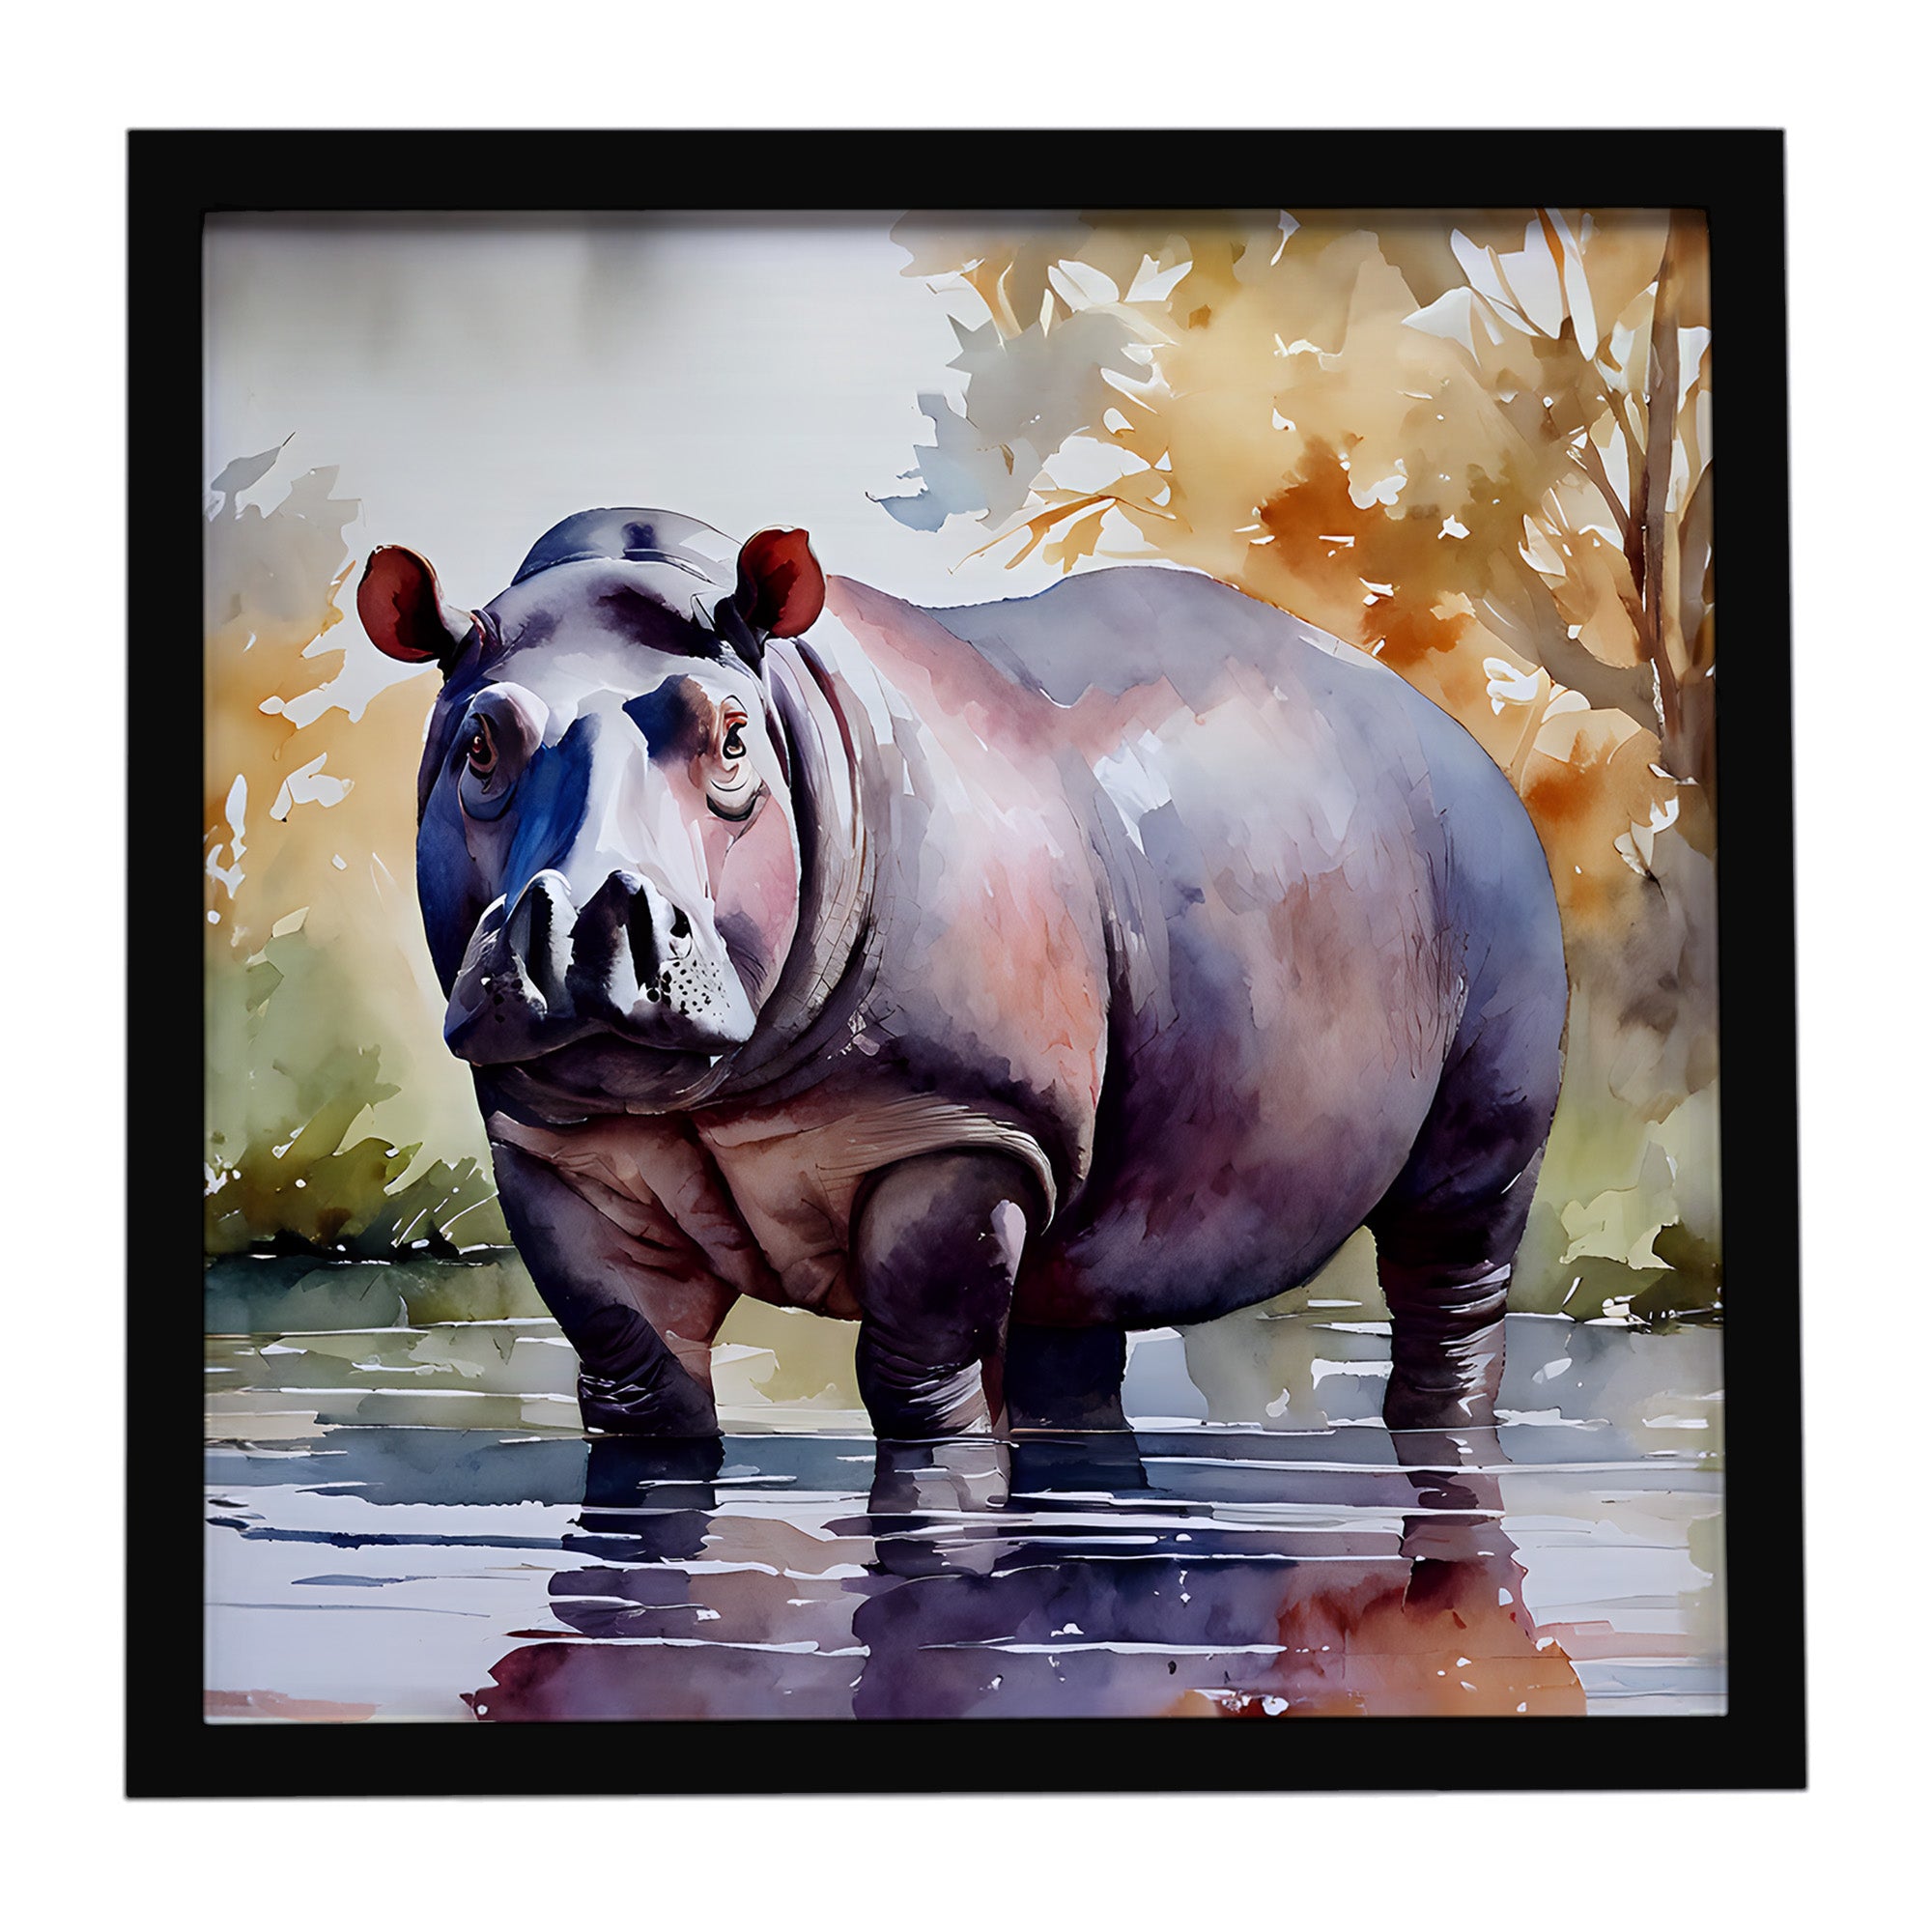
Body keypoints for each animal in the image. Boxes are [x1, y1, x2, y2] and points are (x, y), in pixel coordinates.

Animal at [357, 509, 1565, 1442]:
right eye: (478, 746)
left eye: (735, 739)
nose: (590, 924)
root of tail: (1454, 730)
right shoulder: (557, 1145)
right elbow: (639, 1380)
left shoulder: (965, 1121)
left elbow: (917, 1377)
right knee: (1073, 1297)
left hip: (1496, 906)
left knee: (1454, 1247)